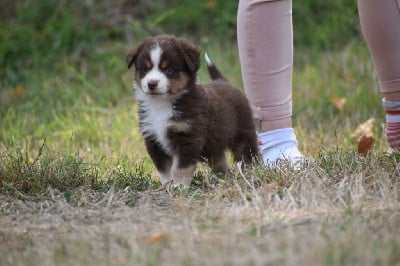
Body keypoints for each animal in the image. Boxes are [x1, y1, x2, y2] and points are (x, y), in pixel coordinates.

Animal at [128, 34, 260, 187]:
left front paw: (179, 185)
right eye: (145, 69)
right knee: (220, 163)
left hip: (243, 134)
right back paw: (225, 179)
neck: (161, 104)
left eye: (169, 70)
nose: (152, 84)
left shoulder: (188, 137)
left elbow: (182, 167)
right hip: (213, 148)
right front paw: (166, 184)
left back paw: (253, 172)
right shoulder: (153, 139)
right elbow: (164, 168)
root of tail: (224, 82)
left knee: (249, 155)